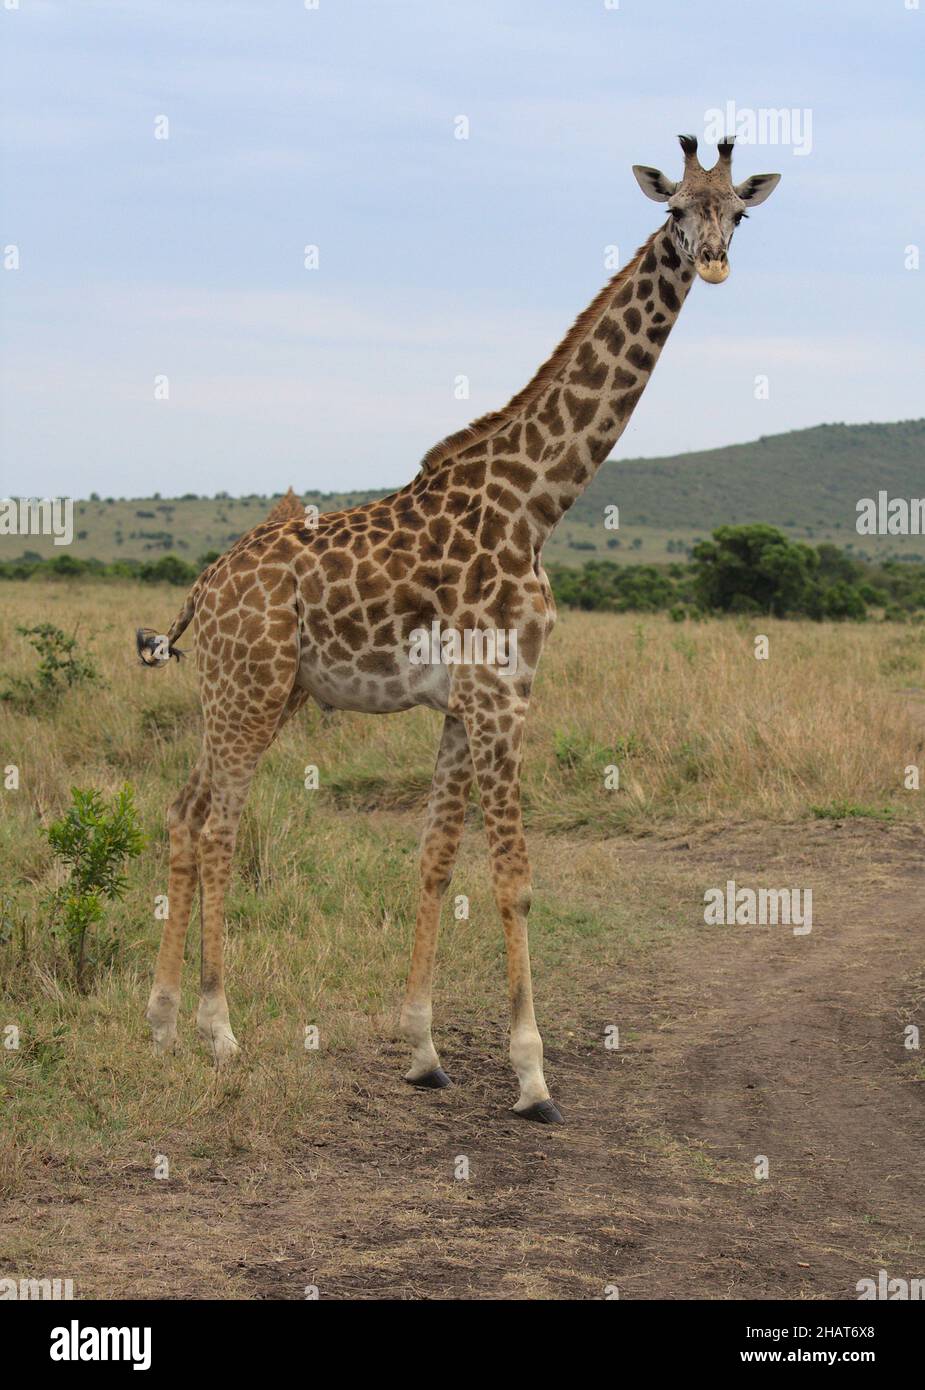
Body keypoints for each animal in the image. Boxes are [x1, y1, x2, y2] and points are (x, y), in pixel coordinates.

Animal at [139, 135, 773, 1123]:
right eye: (674, 209)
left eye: (736, 212)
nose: (710, 262)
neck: (539, 502)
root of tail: (207, 584)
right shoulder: (500, 696)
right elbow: (514, 876)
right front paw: (532, 1078)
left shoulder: (461, 704)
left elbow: (435, 861)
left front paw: (423, 1051)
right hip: (247, 691)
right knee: (218, 830)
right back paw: (219, 1032)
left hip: (250, 693)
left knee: (182, 811)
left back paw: (164, 1023)